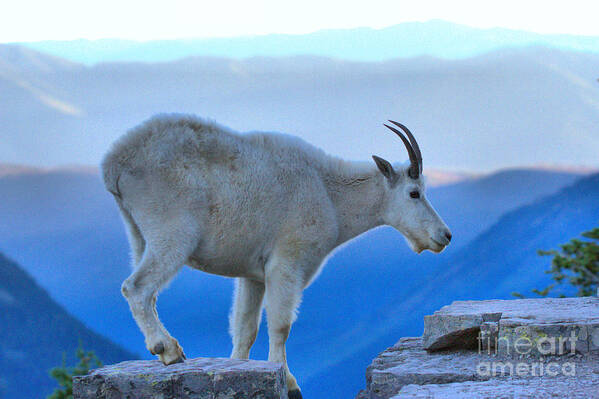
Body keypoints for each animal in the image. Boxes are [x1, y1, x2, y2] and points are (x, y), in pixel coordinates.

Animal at [102, 114, 450, 398]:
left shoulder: (252, 275)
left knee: (146, 293)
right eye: (414, 193)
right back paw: (169, 350)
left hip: (138, 236)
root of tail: (113, 165)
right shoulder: (288, 261)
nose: (444, 236)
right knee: (136, 287)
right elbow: (281, 324)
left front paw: (237, 368)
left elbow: (245, 329)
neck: (331, 195)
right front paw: (291, 384)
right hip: (172, 235)